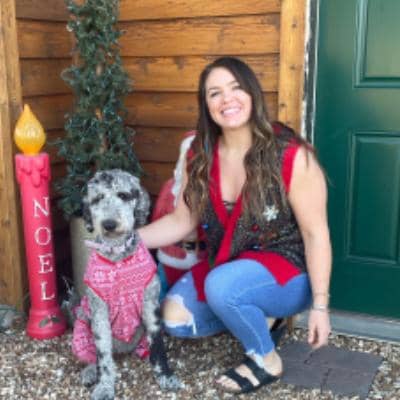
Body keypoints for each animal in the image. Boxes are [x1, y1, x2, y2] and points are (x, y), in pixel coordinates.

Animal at [72, 169, 181, 400]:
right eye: (97, 198)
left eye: (123, 195)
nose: (109, 224)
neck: (117, 255)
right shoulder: (99, 314)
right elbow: (103, 357)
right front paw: (104, 387)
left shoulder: (151, 307)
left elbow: (159, 347)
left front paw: (165, 377)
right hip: (80, 332)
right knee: (92, 357)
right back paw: (89, 372)